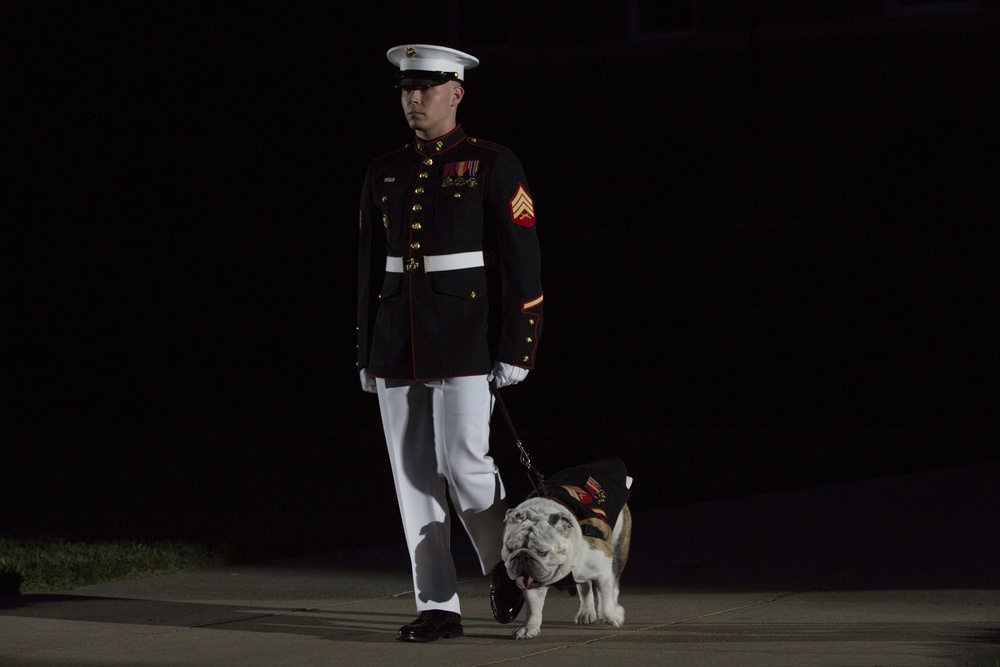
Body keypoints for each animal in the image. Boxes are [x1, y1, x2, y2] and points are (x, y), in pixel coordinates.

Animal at [500, 456, 632, 640]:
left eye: (542, 552)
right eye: (510, 549)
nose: (522, 557)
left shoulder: (604, 566)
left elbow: (606, 602)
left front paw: (614, 615)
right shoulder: (530, 581)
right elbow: (533, 607)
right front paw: (529, 628)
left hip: (618, 547)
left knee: (613, 584)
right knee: (585, 586)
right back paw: (586, 612)